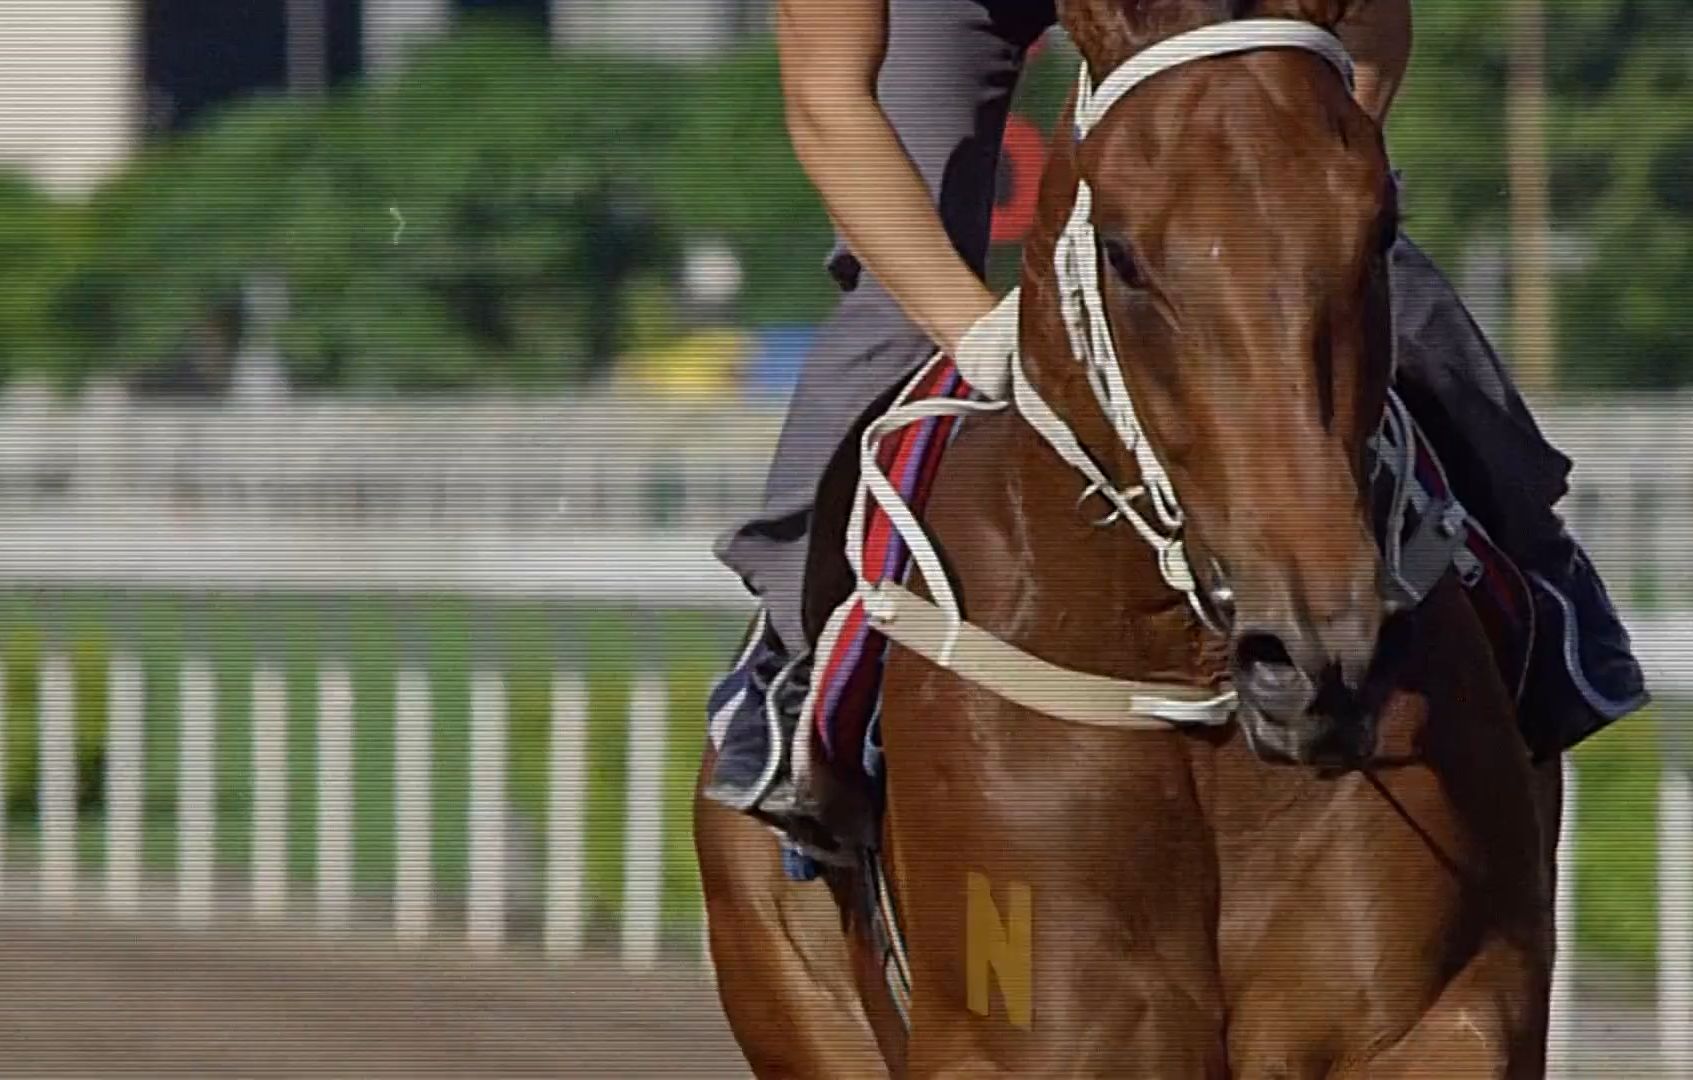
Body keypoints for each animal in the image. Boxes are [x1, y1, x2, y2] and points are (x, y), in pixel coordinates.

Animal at [697, 4, 1557, 1076]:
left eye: (1380, 231)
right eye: (1121, 254)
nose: (1318, 655)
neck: (1185, 678)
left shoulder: (1444, 1006)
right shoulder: (1032, 1028)